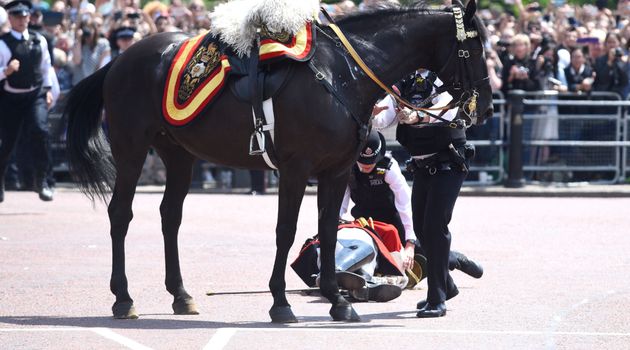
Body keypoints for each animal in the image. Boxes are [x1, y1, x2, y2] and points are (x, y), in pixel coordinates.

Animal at [65, 0, 494, 322]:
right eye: (475, 48)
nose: (487, 108)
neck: (340, 75)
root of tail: (121, 59)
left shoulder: (335, 171)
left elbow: (329, 230)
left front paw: (337, 301)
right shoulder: (295, 170)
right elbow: (285, 232)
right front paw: (281, 303)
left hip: (179, 154)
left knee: (170, 216)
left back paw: (181, 294)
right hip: (131, 149)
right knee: (120, 214)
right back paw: (123, 298)